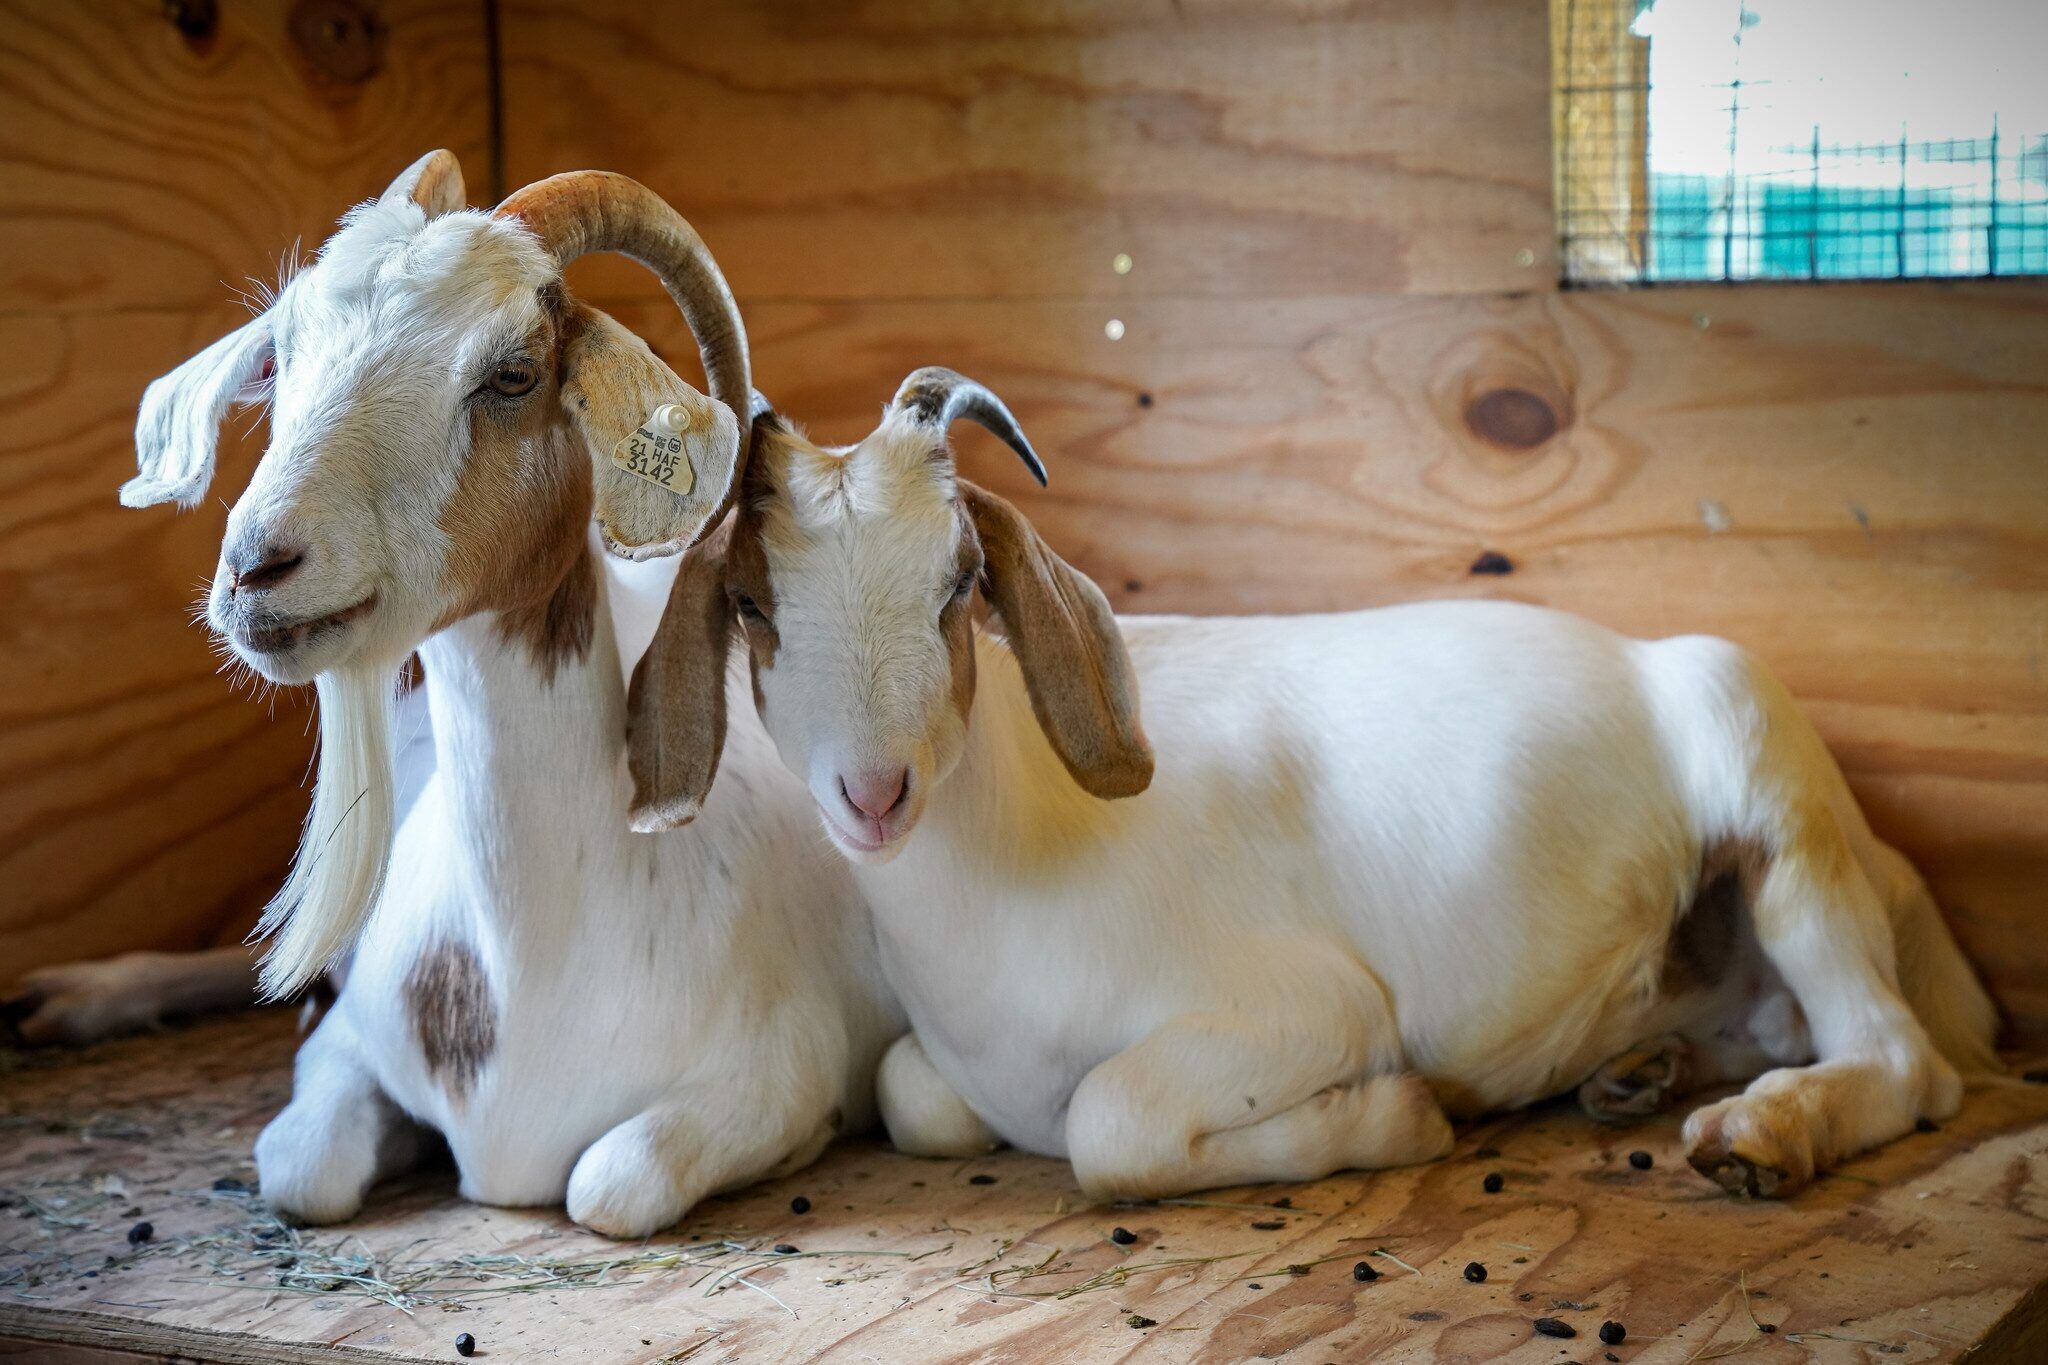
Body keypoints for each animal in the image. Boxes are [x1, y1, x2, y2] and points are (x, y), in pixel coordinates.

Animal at [109, 151, 902, 1236]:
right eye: (282, 351)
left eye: (512, 374)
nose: (257, 569)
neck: (533, 965)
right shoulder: (342, 1048)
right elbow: (303, 1168)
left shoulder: (786, 1075)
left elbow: (610, 1184)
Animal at [625, 368, 2000, 1202]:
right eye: (750, 603)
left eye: (959, 582)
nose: (873, 794)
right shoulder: (941, 1064)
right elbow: (913, 1093)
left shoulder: (1304, 1006)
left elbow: (1108, 1127)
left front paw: (1397, 1119)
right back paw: (1639, 1073)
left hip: (1771, 799)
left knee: (1904, 1063)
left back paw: (1758, 1137)